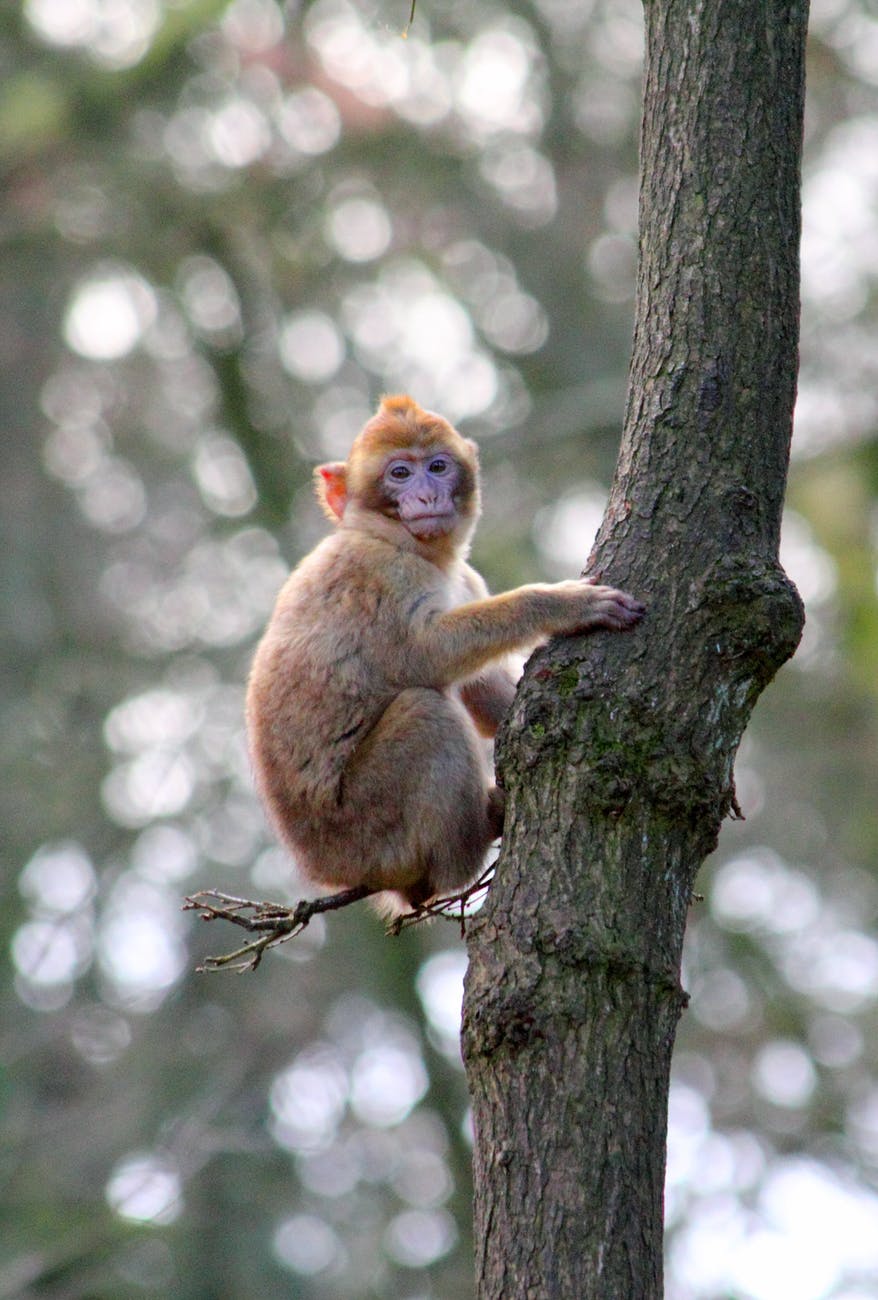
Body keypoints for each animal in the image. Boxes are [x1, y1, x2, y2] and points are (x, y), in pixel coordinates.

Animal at [245, 394, 644, 916]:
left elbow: (484, 694)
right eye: (399, 473)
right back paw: (474, 838)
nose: (426, 496)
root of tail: (326, 869)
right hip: (366, 826)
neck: (407, 546)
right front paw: (558, 604)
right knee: (426, 710)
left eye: (437, 466)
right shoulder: (378, 574)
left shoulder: (467, 579)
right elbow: (421, 658)